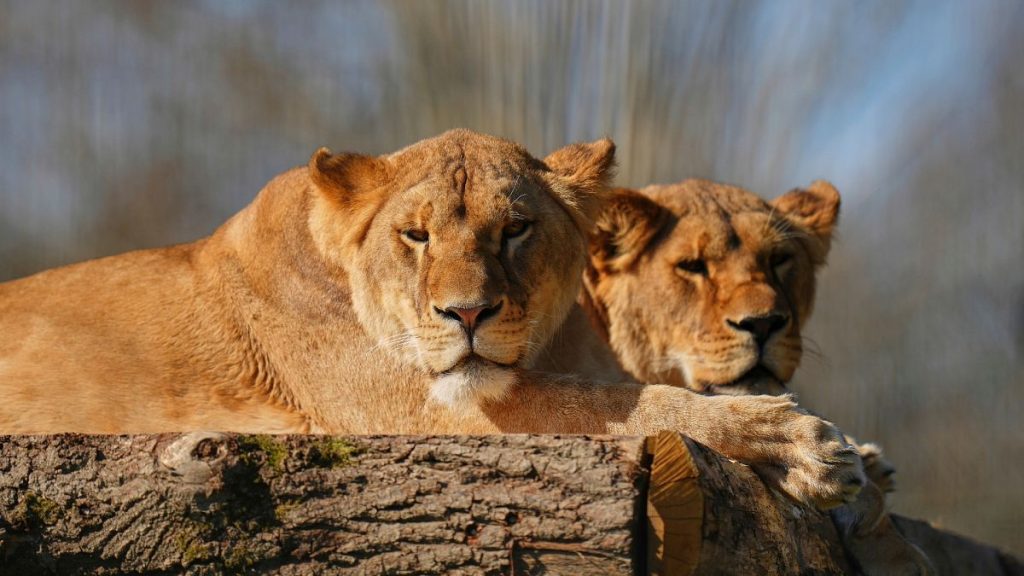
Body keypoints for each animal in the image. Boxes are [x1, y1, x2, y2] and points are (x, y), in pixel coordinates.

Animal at [0, 130, 863, 509]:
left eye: (515, 230)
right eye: (414, 236)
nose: (468, 311)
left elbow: (619, 392)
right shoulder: (425, 407)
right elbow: (626, 406)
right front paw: (795, 442)